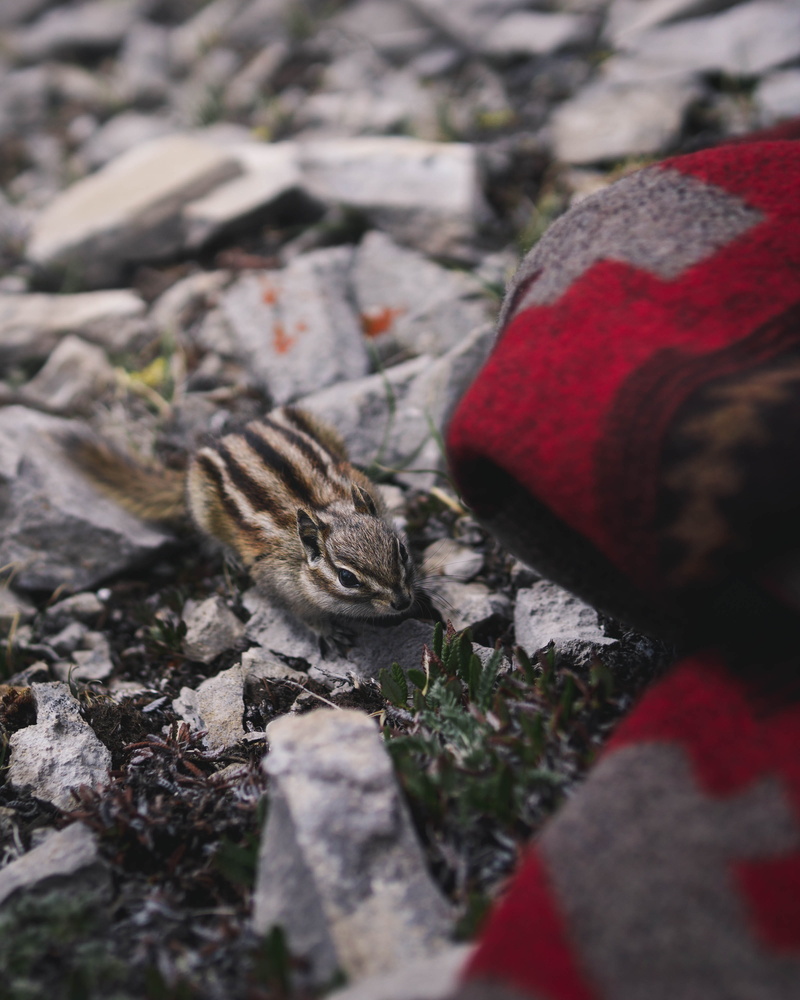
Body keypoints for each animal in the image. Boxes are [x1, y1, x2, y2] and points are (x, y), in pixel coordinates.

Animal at [67, 406, 418, 654]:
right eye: (347, 578)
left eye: (402, 551)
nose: (403, 602)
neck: (324, 507)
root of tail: (235, 433)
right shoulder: (277, 582)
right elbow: (303, 614)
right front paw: (328, 632)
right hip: (203, 506)